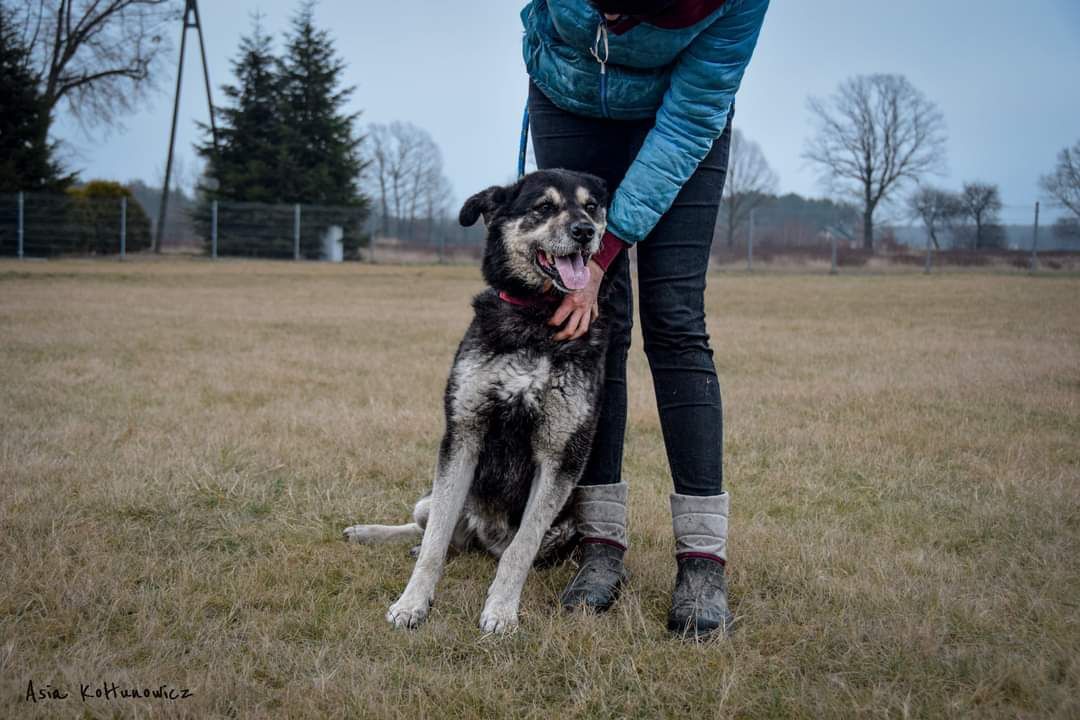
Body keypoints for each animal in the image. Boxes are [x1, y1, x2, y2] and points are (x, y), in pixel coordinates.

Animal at [345, 171, 617, 634]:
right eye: (544, 207)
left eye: (592, 207)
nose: (584, 232)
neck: (534, 320)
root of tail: (481, 537)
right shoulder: (463, 435)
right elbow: (435, 543)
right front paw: (412, 603)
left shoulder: (560, 455)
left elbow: (520, 550)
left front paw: (502, 610)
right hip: (434, 497)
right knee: (429, 528)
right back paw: (370, 533)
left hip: (564, 526)